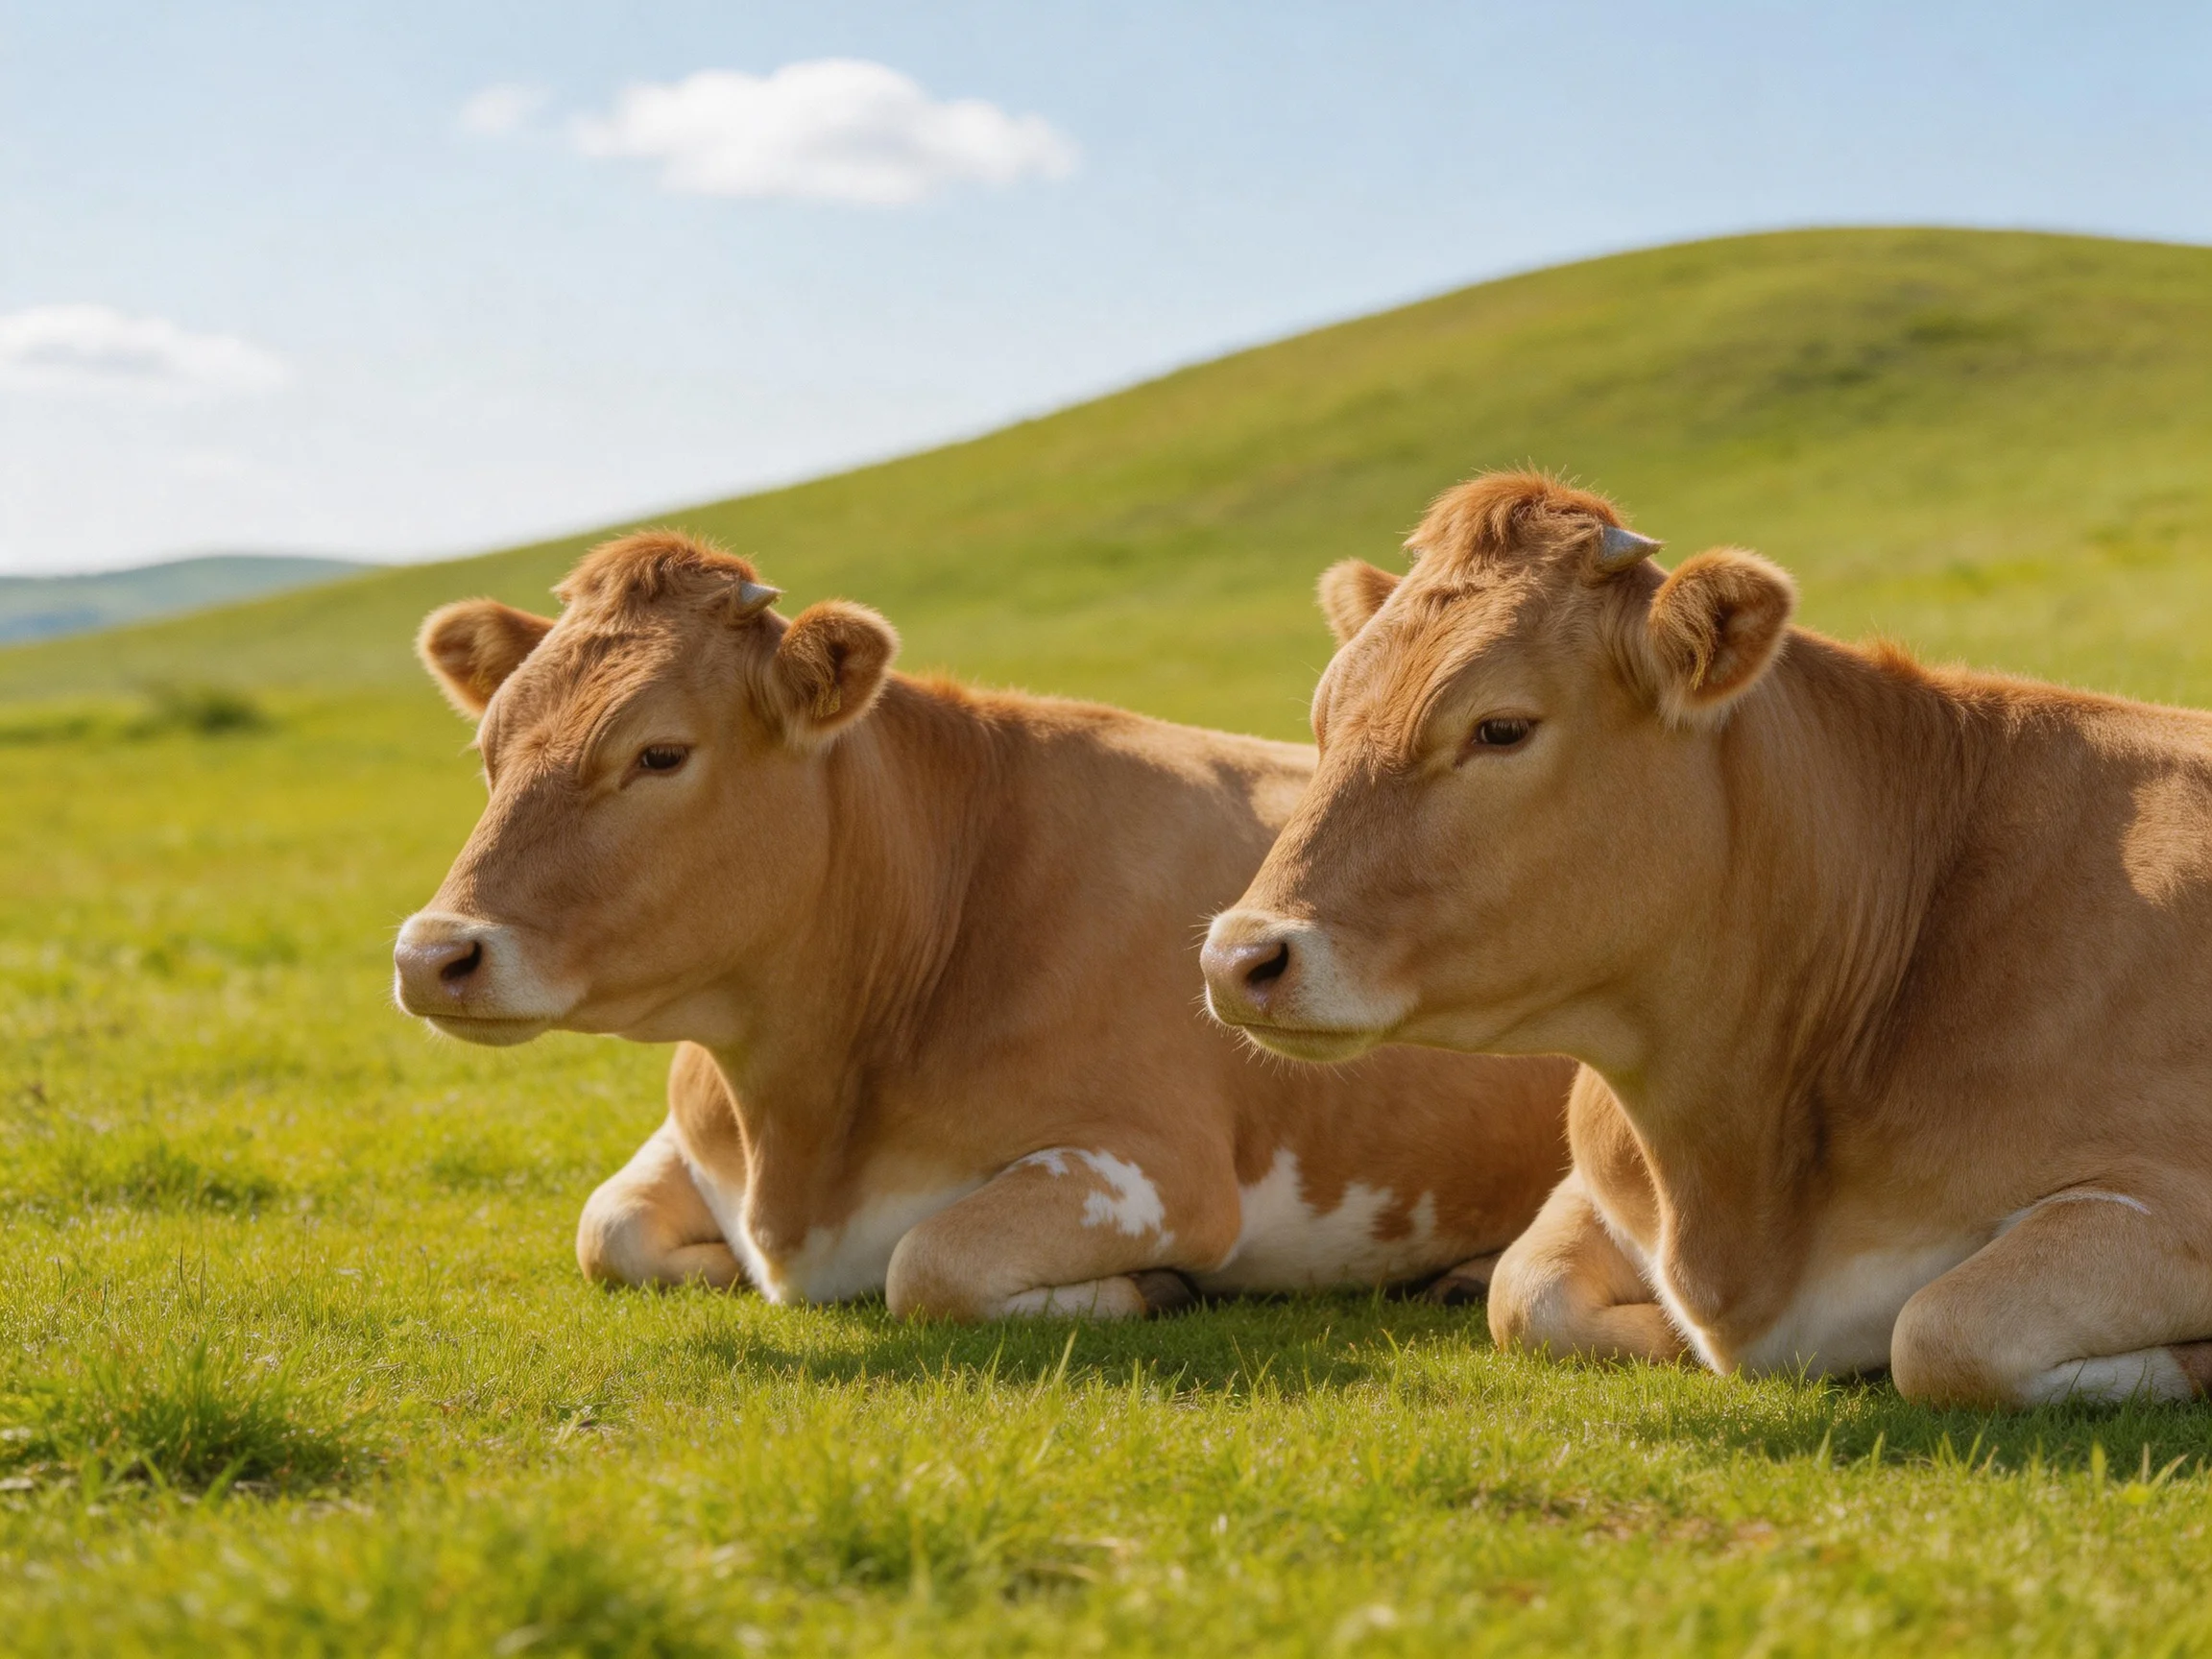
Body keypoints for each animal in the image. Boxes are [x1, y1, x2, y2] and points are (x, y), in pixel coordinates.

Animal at [392, 529, 1570, 1320]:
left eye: (660, 752)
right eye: (489, 748)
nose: (432, 953)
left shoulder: (1161, 1164)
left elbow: (929, 1264)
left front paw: (1150, 1289)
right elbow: (610, 1227)